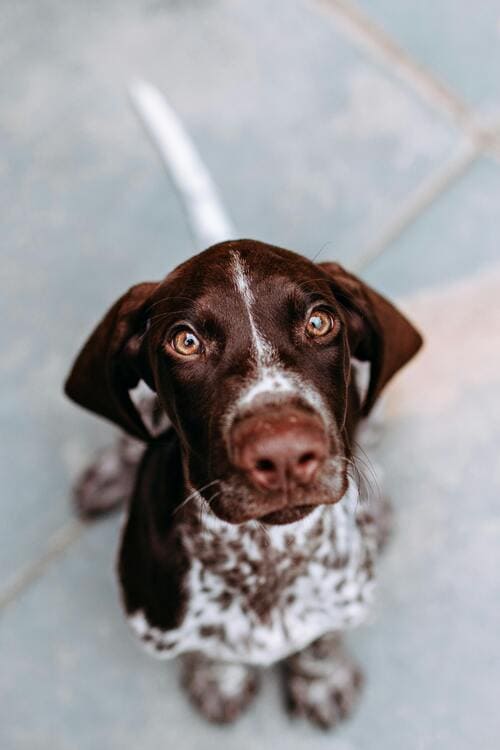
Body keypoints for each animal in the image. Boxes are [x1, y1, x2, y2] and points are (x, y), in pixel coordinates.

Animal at [63, 241, 422, 728]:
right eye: (186, 341)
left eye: (319, 322)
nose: (284, 453)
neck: (264, 555)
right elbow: (209, 649)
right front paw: (220, 679)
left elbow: (322, 638)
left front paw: (321, 680)